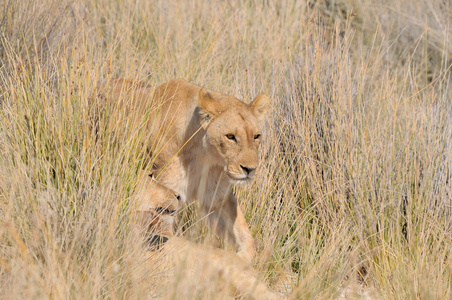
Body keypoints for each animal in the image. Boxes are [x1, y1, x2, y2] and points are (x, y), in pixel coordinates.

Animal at [94, 78, 268, 264]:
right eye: (230, 136)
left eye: (256, 136)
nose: (250, 169)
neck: (204, 156)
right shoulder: (164, 196)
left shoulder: (215, 199)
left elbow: (245, 236)